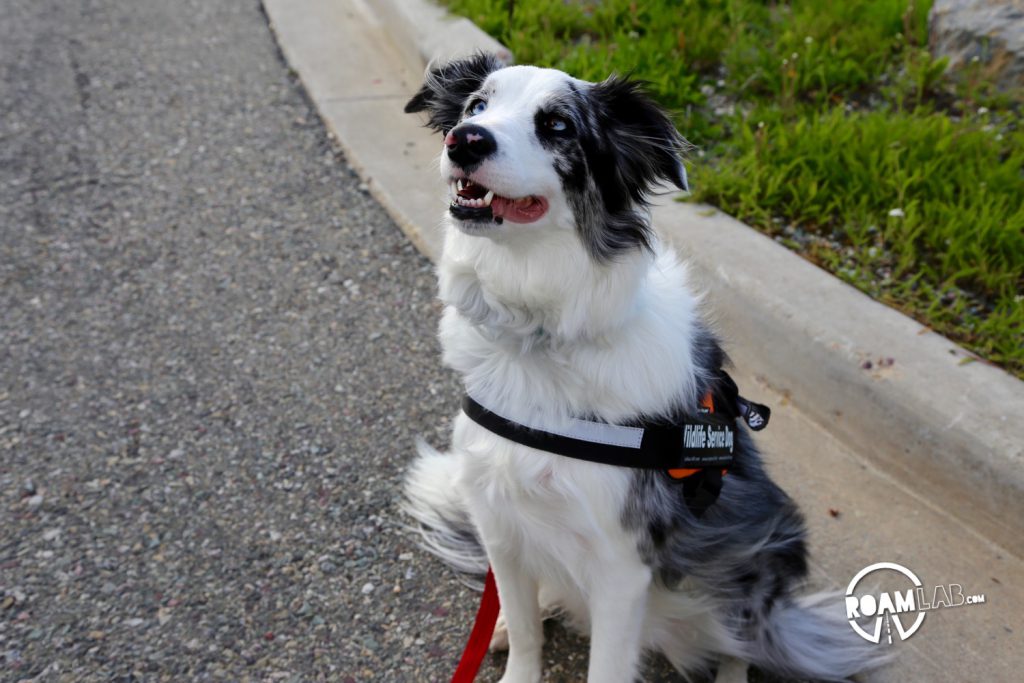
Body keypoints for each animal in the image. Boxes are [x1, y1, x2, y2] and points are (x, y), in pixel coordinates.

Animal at [399, 54, 880, 683]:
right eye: (478, 105)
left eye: (557, 125)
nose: (465, 139)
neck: (539, 335)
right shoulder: (500, 523)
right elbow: (528, 636)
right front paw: (515, 637)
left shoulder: (620, 568)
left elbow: (607, 665)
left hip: (756, 558)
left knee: (744, 645)